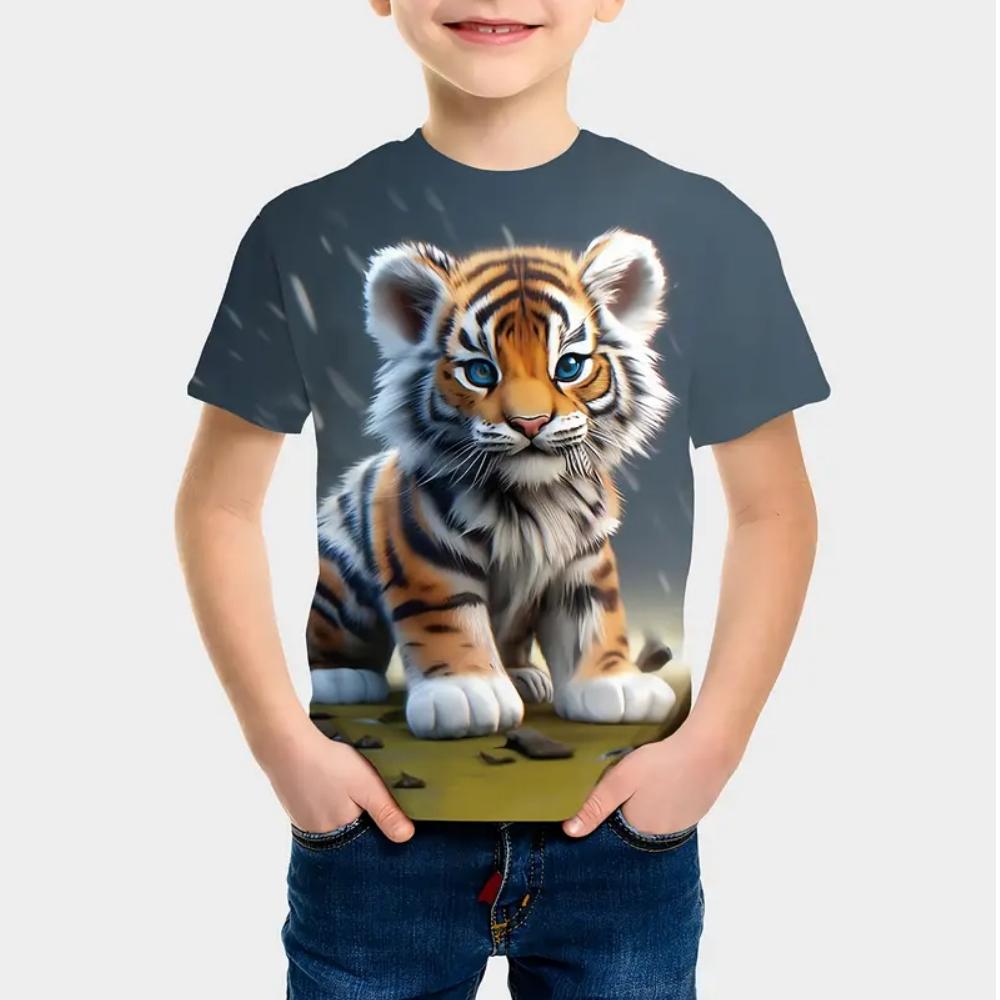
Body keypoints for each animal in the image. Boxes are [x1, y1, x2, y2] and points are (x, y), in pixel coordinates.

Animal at [307, 229, 678, 739]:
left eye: (569, 366)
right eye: (481, 372)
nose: (531, 423)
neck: (535, 497)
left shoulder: (583, 558)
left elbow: (595, 617)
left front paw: (616, 685)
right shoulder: (429, 553)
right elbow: (448, 619)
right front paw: (465, 694)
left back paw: (524, 677)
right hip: (338, 583)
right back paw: (339, 679)